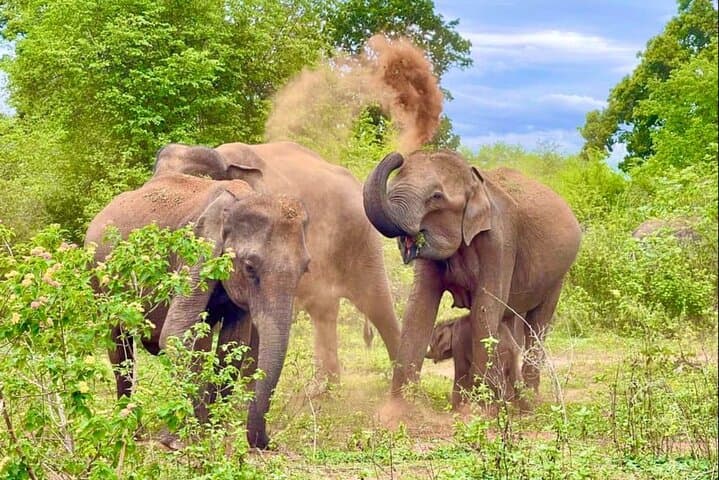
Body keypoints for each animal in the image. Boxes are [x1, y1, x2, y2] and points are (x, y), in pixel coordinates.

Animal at [85, 173, 310, 449]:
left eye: (305, 268)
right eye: (249, 267)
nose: (268, 443)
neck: (238, 199)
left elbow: (233, 344)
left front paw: (214, 431)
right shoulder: (194, 252)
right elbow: (178, 333)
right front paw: (183, 439)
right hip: (101, 279)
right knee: (120, 349)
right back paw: (132, 432)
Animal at [363, 150, 581, 404]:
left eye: (436, 196)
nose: (397, 156)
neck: (475, 181)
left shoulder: (500, 241)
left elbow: (484, 310)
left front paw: (481, 407)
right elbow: (418, 310)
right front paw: (400, 408)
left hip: (558, 276)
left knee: (537, 326)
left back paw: (530, 398)